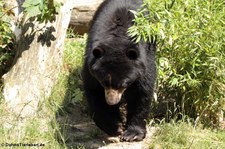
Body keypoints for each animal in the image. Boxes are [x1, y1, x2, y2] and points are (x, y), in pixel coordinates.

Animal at [81, 0, 156, 142]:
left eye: (124, 84)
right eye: (103, 82)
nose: (112, 101)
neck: (117, 40)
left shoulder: (144, 60)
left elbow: (141, 92)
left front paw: (132, 134)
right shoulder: (91, 62)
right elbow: (94, 91)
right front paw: (114, 127)